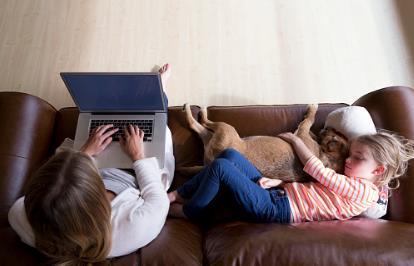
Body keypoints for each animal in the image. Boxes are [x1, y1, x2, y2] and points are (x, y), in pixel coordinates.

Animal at [183, 104, 348, 183]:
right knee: (198, 125)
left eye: (336, 135)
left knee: (199, 123)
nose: (327, 128)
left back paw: (195, 111)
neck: (323, 155)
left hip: (225, 129)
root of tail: (212, 161)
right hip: (217, 134)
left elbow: (308, 120)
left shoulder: (301, 134)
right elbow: (308, 123)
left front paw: (312, 109)